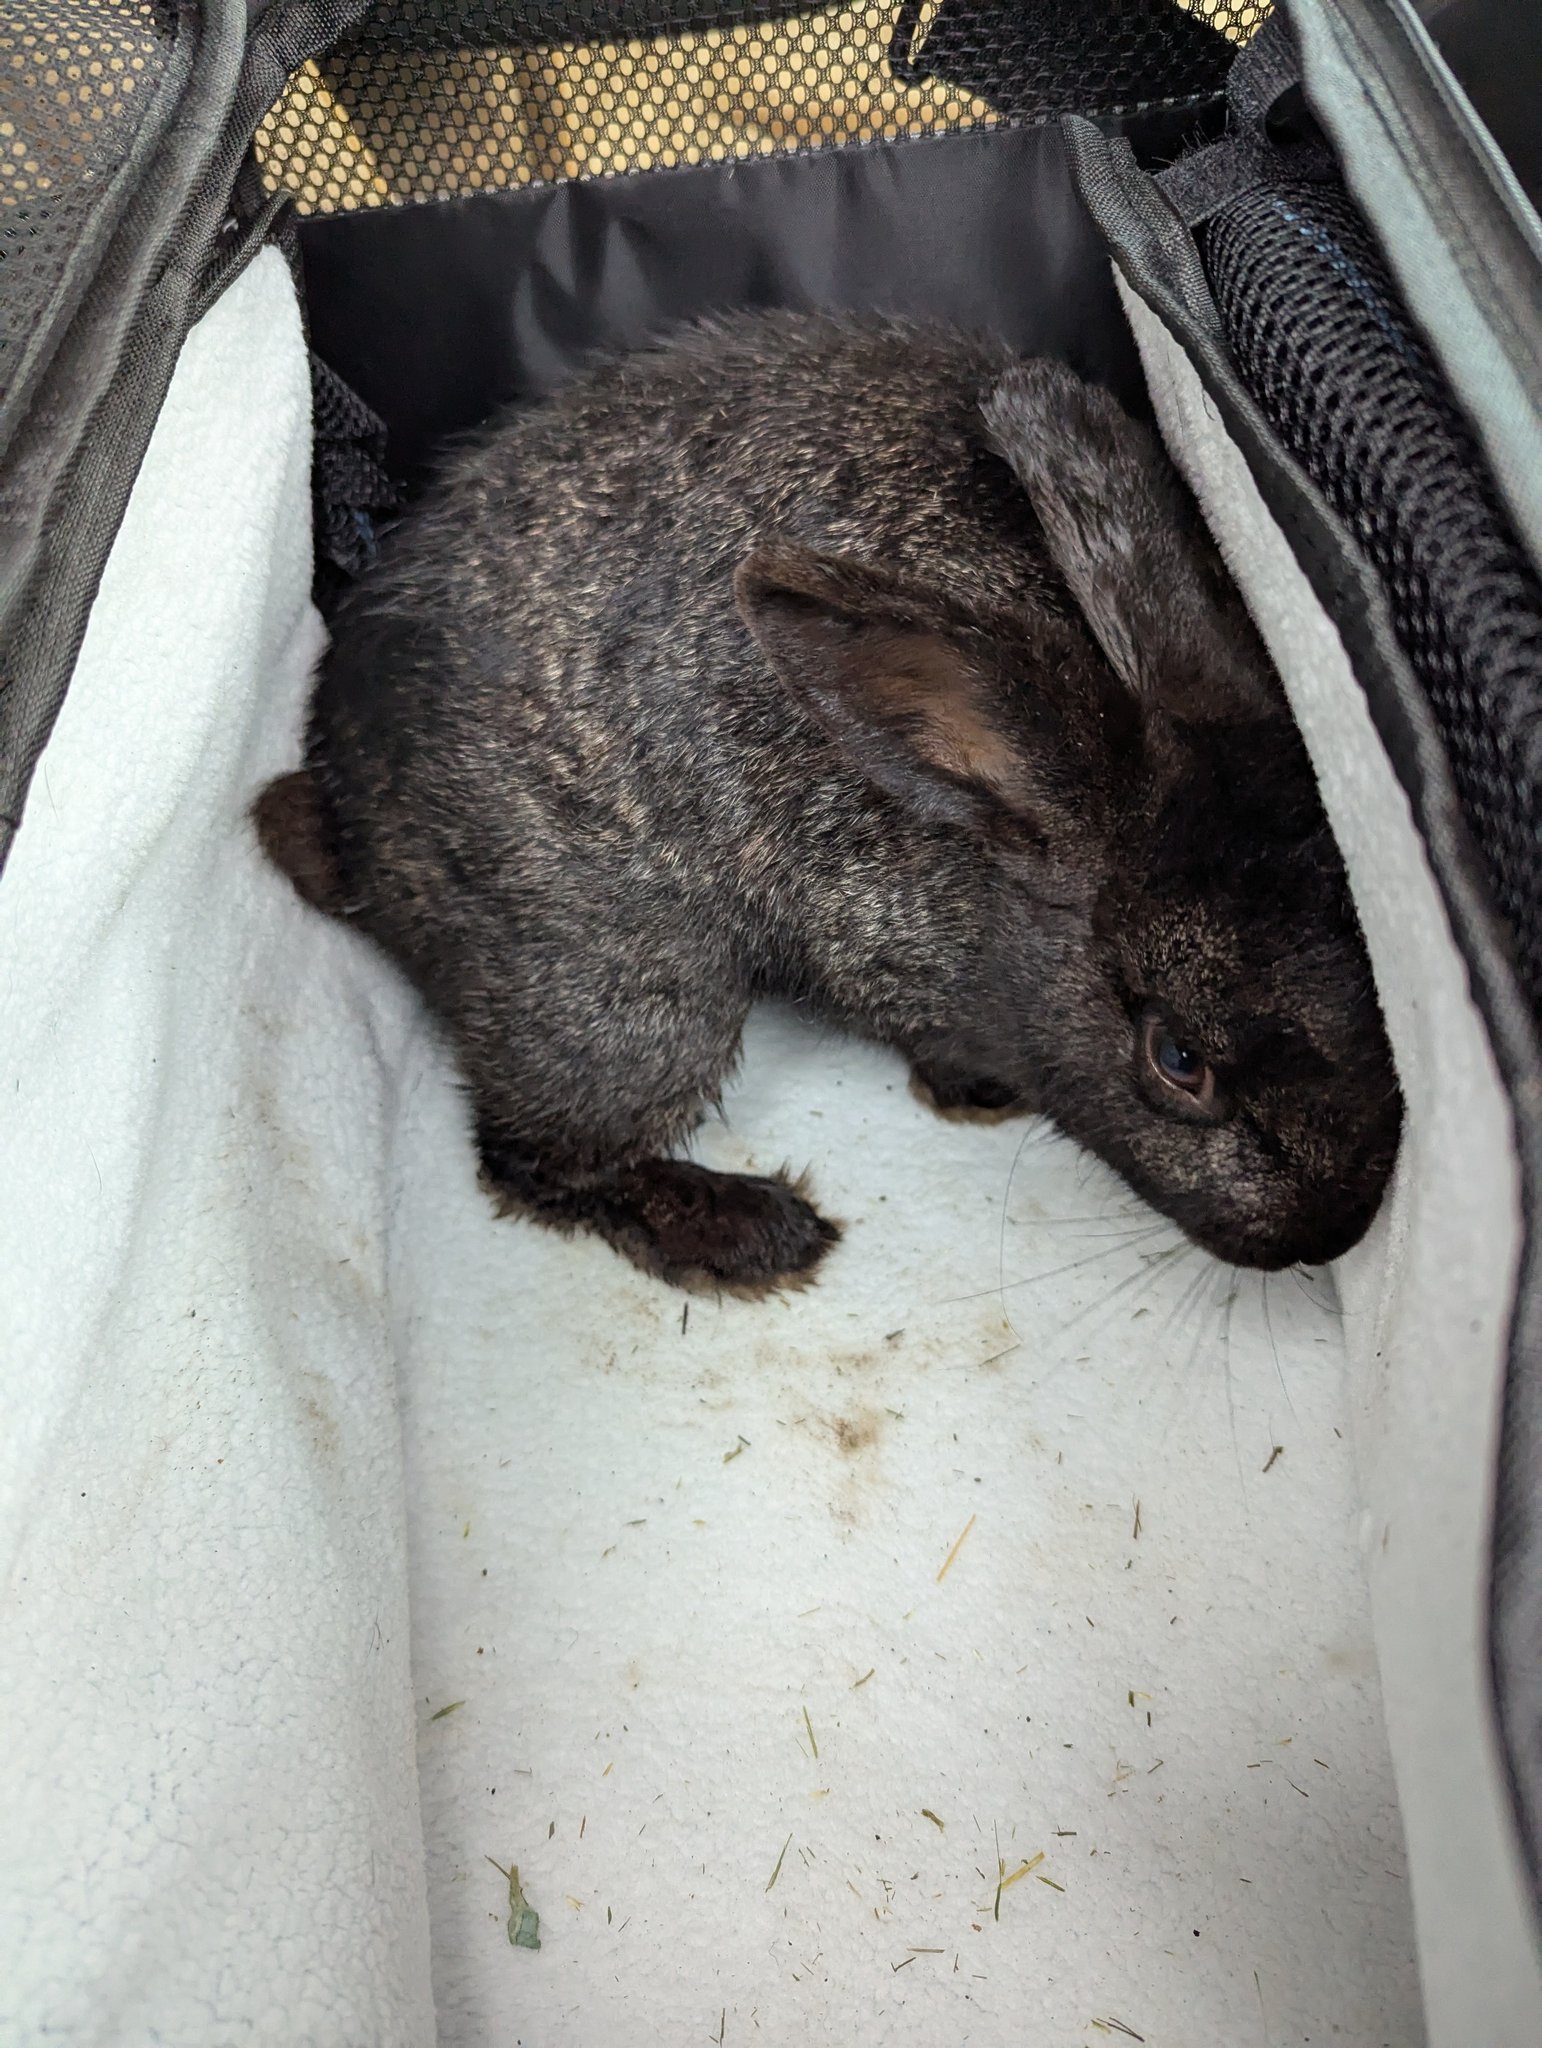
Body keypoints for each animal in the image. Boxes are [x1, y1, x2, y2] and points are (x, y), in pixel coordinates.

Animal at [257, 309, 1401, 1293]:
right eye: (1178, 1061)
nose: (1329, 1234)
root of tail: (351, 830)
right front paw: (973, 1091)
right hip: (632, 994)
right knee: (533, 1155)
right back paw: (756, 1233)